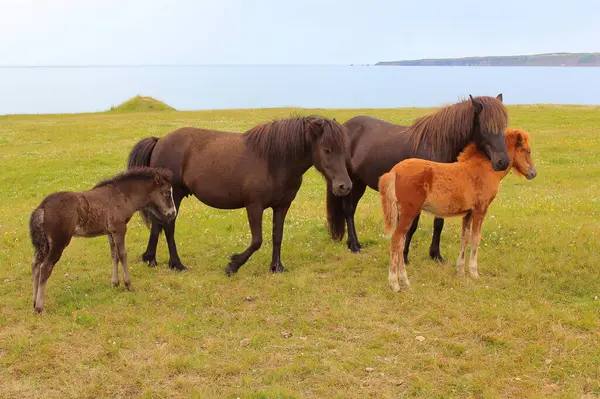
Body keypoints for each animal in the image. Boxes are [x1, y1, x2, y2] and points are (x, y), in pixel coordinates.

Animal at [29, 167, 176, 314]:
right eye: (167, 193)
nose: (173, 213)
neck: (123, 195)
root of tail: (42, 207)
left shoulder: (111, 232)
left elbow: (114, 255)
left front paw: (115, 283)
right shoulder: (120, 229)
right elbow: (123, 255)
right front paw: (128, 284)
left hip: (44, 244)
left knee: (35, 264)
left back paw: (34, 302)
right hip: (59, 242)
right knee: (45, 267)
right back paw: (40, 308)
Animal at [126, 115, 352, 276]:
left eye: (345, 150)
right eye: (327, 150)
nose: (345, 187)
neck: (274, 160)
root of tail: (159, 140)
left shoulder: (282, 206)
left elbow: (277, 236)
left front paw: (277, 267)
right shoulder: (254, 206)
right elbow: (257, 240)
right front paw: (233, 265)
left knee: (158, 224)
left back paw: (151, 259)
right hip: (176, 195)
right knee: (168, 226)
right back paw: (176, 264)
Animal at [378, 130, 536, 292]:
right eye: (527, 151)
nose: (533, 173)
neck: (484, 169)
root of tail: (394, 171)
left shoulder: (468, 212)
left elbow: (464, 237)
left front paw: (460, 270)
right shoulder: (481, 209)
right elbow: (476, 238)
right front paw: (474, 272)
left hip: (401, 213)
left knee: (401, 242)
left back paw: (404, 280)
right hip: (409, 212)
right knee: (396, 240)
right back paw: (395, 283)